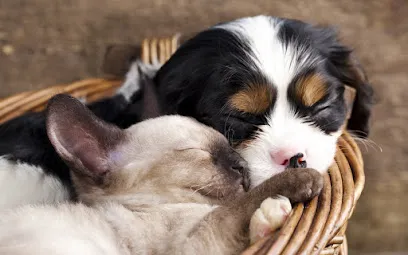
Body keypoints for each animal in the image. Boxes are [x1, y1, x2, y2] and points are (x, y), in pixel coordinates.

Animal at [0, 94, 326, 254]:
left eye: (230, 147)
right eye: (199, 153)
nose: (240, 164)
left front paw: (272, 218)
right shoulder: (196, 243)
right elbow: (236, 208)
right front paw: (305, 179)